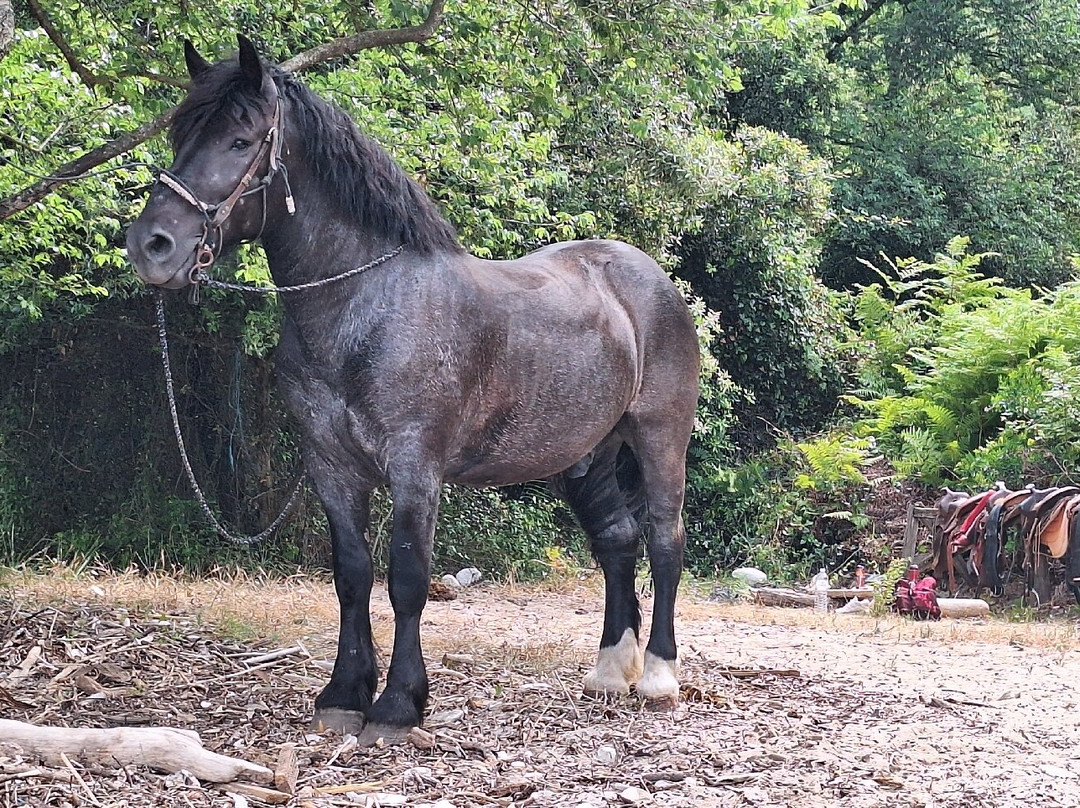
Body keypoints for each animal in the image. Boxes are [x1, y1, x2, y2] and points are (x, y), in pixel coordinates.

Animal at [126, 35, 700, 744]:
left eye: (240, 140)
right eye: (180, 135)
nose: (151, 246)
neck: (367, 307)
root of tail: (648, 277)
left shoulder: (414, 467)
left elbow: (406, 580)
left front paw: (398, 704)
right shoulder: (331, 465)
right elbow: (351, 575)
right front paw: (343, 695)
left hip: (658, 438)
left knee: (665, 540)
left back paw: (657, 677)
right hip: (585, 454)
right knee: (617, 542)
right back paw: (609, 671)